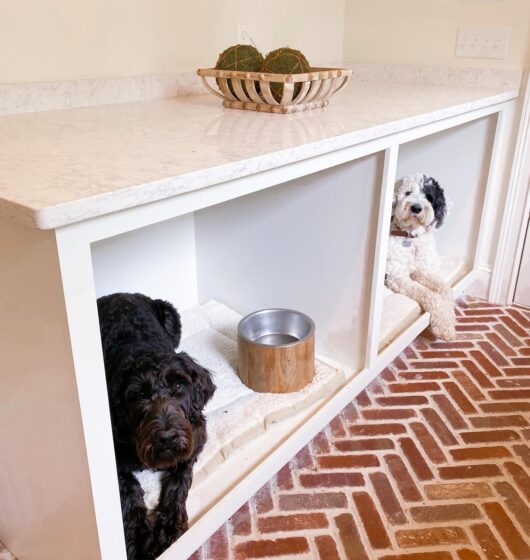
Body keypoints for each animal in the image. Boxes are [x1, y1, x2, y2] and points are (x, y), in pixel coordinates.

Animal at [97, 294, 214, 560]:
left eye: (178, 386)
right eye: (139, 395)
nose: (167, 438)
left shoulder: (194, 438)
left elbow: (179, 480)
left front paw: (170, 526)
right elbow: (129, 489)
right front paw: (140, 539)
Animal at [384, 174, 454, 342]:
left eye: (429, 196)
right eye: (408, 193)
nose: (416, 208)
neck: (410, 239)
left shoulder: (421, 270)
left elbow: (446, 289)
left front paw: (448, 319)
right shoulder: (398, 277)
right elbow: (429, 295)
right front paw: (443, 326)